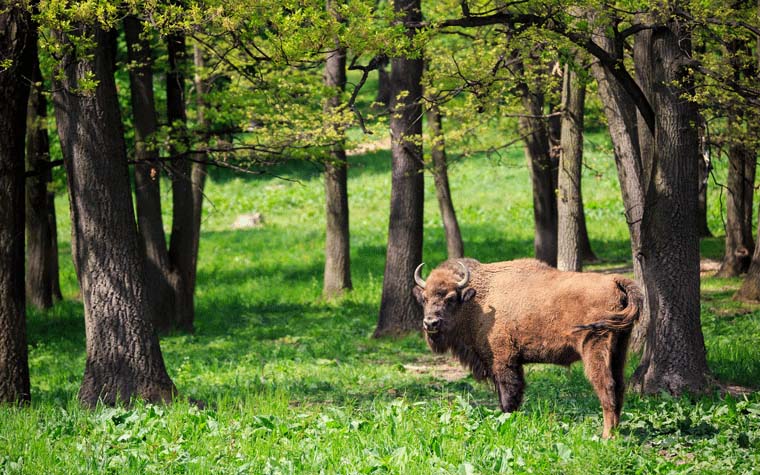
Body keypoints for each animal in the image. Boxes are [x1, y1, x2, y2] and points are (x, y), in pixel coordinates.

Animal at [416, 258, 640, 440]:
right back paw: (616, 431)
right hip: (619, 348)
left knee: (606, 387)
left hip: (595, 348)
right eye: (425, 298)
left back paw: (606, 435)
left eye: (450, 298)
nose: (431, 323)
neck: (480, 299)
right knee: (619, 385)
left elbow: (509, 396)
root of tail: (614, 280)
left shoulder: (504, 361)